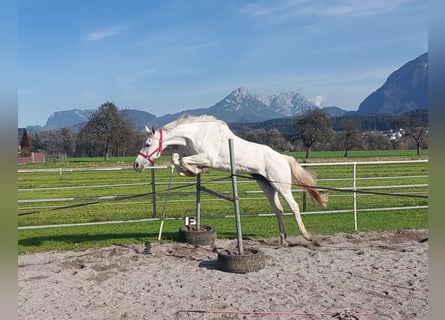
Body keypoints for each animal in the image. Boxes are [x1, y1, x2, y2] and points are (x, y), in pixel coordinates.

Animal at [133, 115, 326, 245]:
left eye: (148, 144)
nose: (136, 165)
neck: (195, 135)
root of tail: (284, 158)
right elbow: (177, 159)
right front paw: (191, 172)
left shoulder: (208, 158)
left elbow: (183, 161)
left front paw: (195, 170)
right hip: (266, 185)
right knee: (278, 209)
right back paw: (283, 239)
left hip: (282, 187)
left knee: (294, 207)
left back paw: (306, 235)